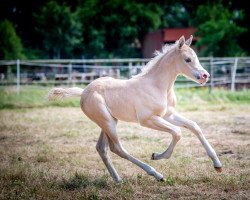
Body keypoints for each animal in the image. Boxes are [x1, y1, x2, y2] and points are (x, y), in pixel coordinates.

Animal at [47, 35, 222, 182]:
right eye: (187, 59)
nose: (205, 76)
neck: (157, 86)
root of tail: (84, 91)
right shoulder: (147, 120)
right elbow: (177, 133)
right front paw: (157, 155)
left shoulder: (168, 115)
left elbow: (194, 126)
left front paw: (217, 165)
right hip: (108, 122)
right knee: (117, 148)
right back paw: (156, 174)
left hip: (109, 121)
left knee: (102, 148)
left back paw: (117, 179)